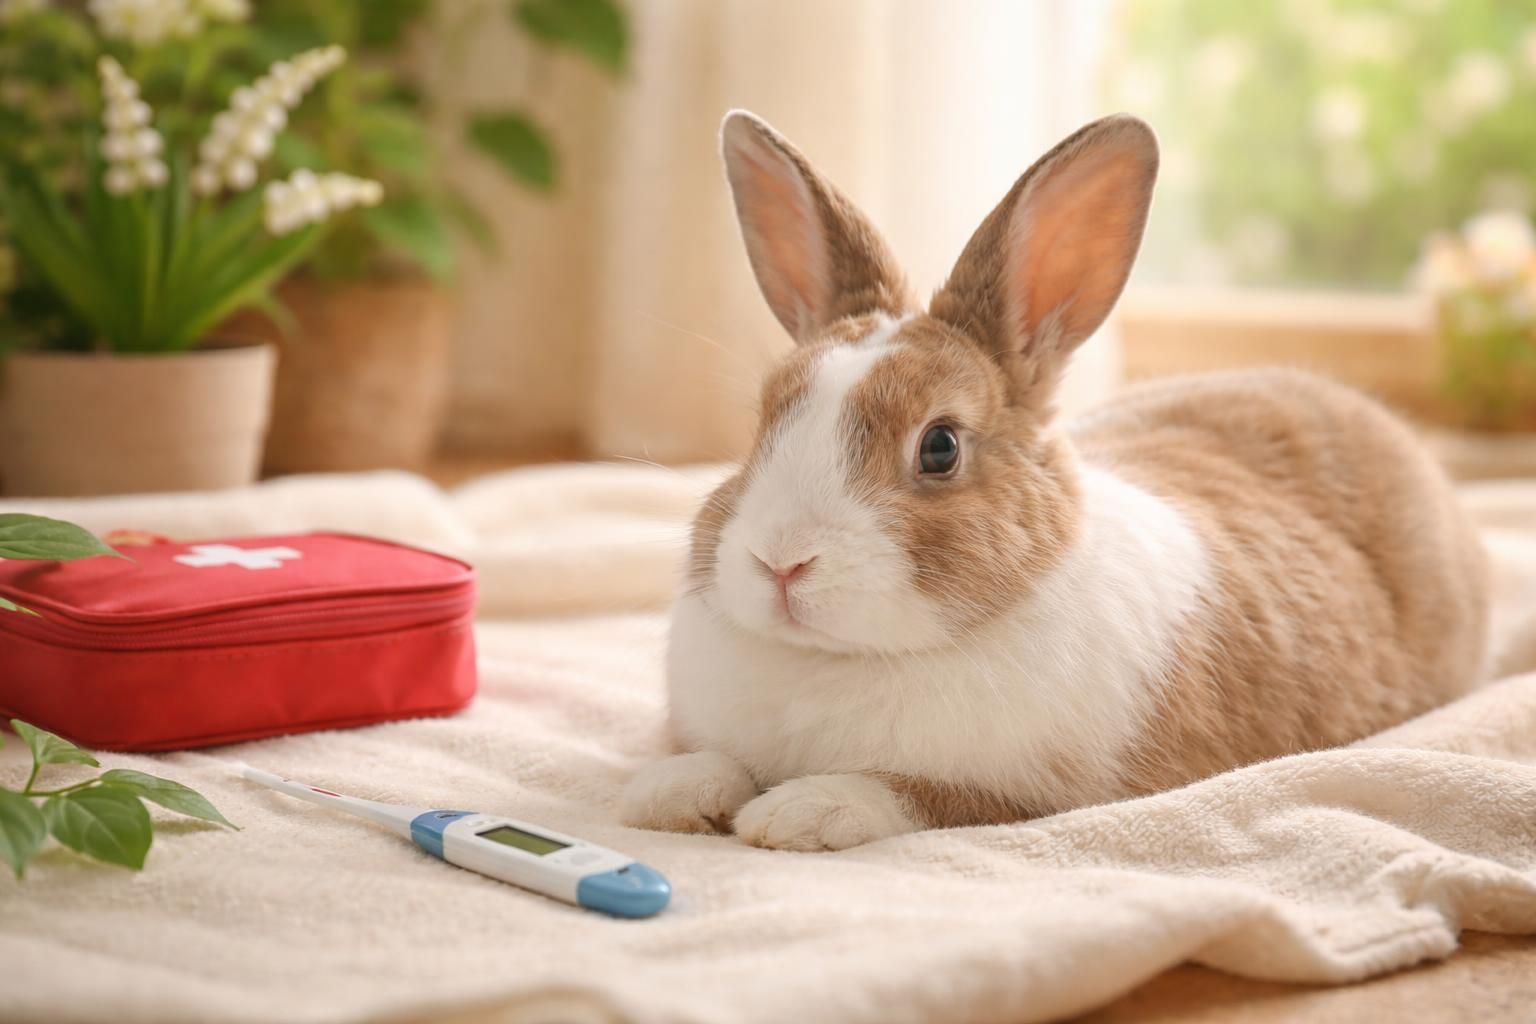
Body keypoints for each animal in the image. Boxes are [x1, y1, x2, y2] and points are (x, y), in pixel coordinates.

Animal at [620, 110, 1490, 852]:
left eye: (939, 447)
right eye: (763, 420)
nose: (780, 562)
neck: (836, 660)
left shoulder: (1041, 799)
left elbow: (916, 795)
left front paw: (799, 811)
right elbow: (713, 760)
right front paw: (665, 793)